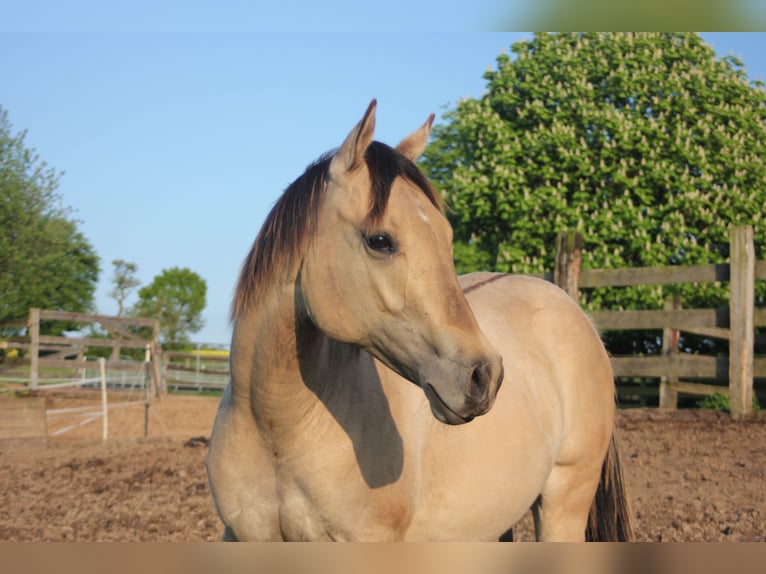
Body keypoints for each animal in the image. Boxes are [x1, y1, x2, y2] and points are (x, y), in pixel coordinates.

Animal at [206, 100, 633, 541]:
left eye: (446, 237)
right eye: (380, 240)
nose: (485, 376)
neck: (276, 428)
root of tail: (580, 318)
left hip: (563, 503)